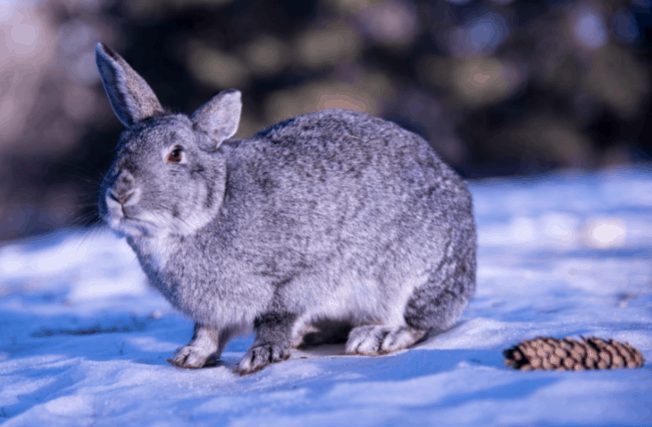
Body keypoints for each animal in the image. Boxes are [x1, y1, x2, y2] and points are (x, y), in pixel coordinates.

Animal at [94, 42, 476, 374]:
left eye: (175, 154)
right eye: (119, 148)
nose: (120, 194)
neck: (211, 210)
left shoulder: (294, 279)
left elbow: (274, 320)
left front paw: (260, 356)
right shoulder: (213, 312)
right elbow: (207, 332)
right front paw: (190, 357)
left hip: (409, 274)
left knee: (418, 322)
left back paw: (377, 336)